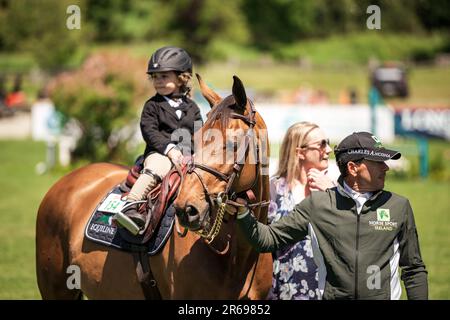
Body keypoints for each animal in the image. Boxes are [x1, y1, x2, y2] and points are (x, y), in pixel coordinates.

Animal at [35, 75, 272, 300]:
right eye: (197, 139)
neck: (238, 255)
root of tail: (67, 181)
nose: (186, 209)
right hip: (56, 289)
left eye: (233, 144)